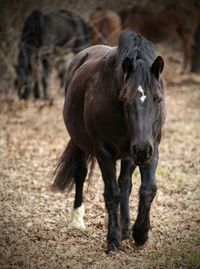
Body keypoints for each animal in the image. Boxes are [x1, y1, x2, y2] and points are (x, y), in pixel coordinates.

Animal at [51, 29, 166, 251]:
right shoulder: (104, 152)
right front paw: (113, 241)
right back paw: (77, 220)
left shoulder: (152, 148)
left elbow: (147, 189)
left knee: (125, 185)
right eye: (125, 100)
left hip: (130, 154)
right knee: (81, 174)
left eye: (157, 99)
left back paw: (126, 229)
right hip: (79, 143)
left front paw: (139, 233)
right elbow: (112, 193)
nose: (141, 149)